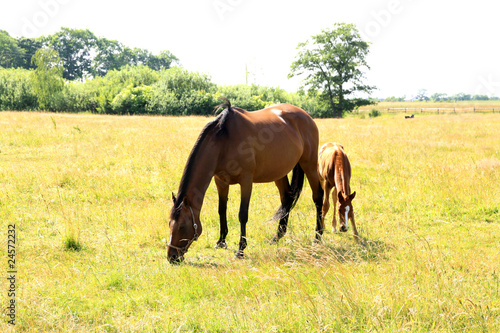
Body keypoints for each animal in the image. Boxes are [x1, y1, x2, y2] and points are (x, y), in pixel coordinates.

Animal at [168, 98, 324, 262]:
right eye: (169, 224)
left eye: (182, 226)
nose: (172, 257)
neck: (224, 140)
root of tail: (306, 116)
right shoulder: (220, 181)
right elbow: (221, 210)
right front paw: (221, 241)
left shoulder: (246, 181)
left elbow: (242, 214)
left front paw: (240, 249)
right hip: (279, 172)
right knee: (287, 198)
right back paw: (277, 236)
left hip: (309, 164)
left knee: (318, 197)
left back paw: (317, 237)